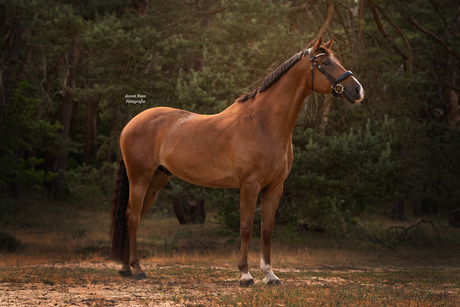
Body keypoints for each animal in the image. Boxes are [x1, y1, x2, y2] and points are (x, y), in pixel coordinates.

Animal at [110, 37, 362, 286]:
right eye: (326, 63)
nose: (357, 90)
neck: (264, 123)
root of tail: (132, 123)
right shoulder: (249, 185)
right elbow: (246, 228)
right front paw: (245, 275)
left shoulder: (275, 187)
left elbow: (267, 229)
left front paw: (270, 275)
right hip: (140, 178)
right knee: (132, 217)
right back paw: (137, 269)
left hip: (157, 180)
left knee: (135, 217)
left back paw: (126, 267)